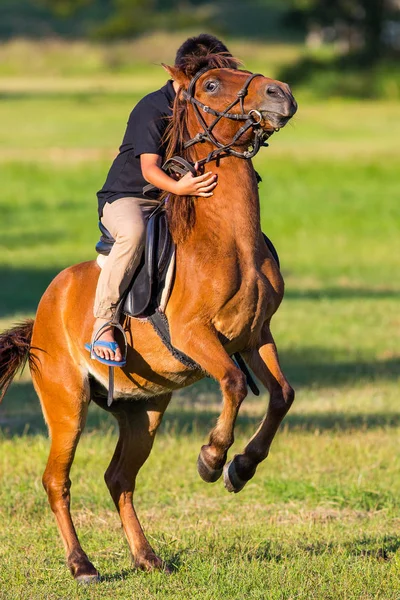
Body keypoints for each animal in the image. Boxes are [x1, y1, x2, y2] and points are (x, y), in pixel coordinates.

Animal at [0, 64, 296, 580]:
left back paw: (146, 556)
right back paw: (82, 565)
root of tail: (40, 316)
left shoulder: (256, 336)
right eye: (211, 84)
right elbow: (235, 384)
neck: (231, 239)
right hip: (67, 405)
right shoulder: (196, 335)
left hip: (143, 412)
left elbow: (281, 396)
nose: (281, 93)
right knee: (57, 480)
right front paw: (212, 458)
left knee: (118, 477)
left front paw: (241, 468)